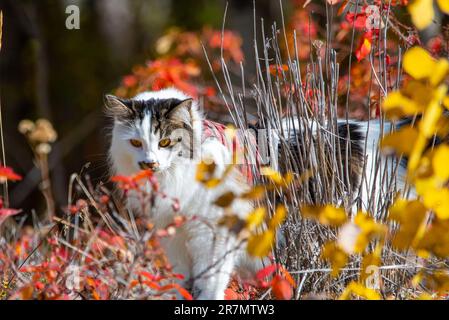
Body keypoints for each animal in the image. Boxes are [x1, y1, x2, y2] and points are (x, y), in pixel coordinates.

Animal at [106, 88, 260, 300]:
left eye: (165, 142)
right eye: (136, 143)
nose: (149, 163)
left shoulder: (213, 233)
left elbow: (210, 281)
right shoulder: (174, 236)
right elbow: (181, 278)